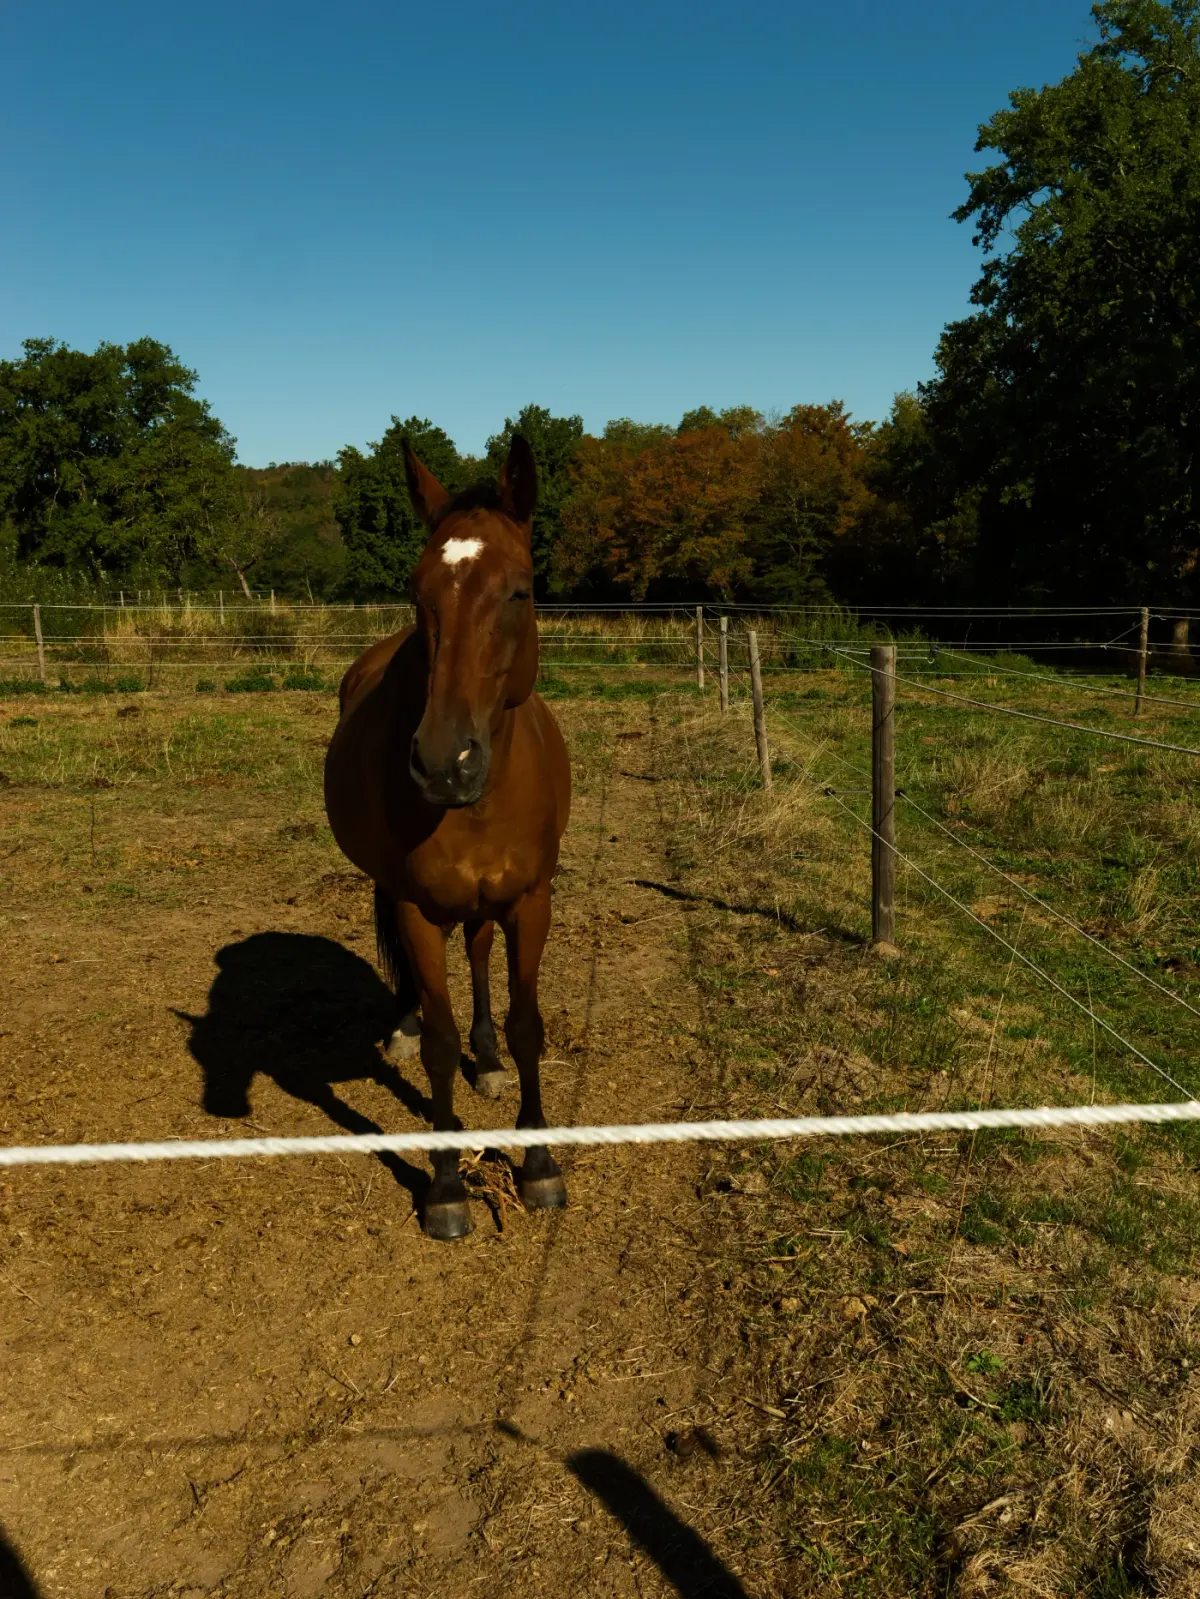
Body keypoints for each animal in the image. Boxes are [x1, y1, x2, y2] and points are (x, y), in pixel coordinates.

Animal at [323, 435, 572, 1241]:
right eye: (417, 591)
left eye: (520, 590)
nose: (442, 761)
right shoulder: (417, 907)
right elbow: (436, 1042)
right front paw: (443, 1184)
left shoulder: (530, 900)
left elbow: (527, 1026)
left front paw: (539, 1163)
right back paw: (403, 1024)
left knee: (481, 952)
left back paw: (485, 1056)